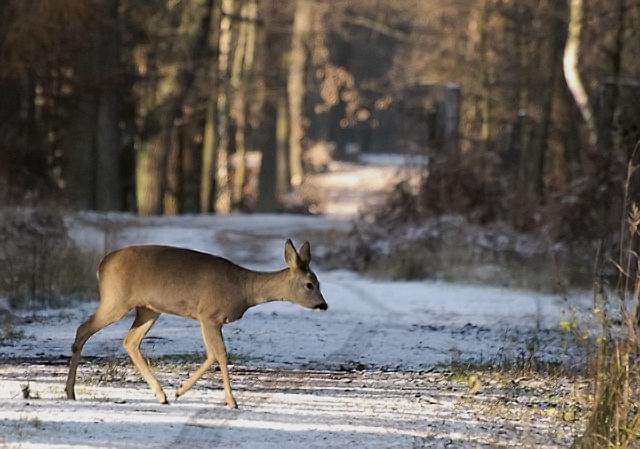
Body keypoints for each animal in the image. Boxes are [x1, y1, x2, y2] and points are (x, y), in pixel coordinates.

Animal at [65, 240, 328, 408]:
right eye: (309, 284)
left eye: (319, 282)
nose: (323, 305)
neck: (243, 288)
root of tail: (102, 264)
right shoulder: (209, 314)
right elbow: (220, 354)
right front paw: (231, 401)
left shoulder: (209, 319)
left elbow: (212, 354)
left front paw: (179, 390)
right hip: (116, 300)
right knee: (83, 330)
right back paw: (70, 391)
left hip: (148, 309)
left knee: (130, 341)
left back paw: (161, 394)